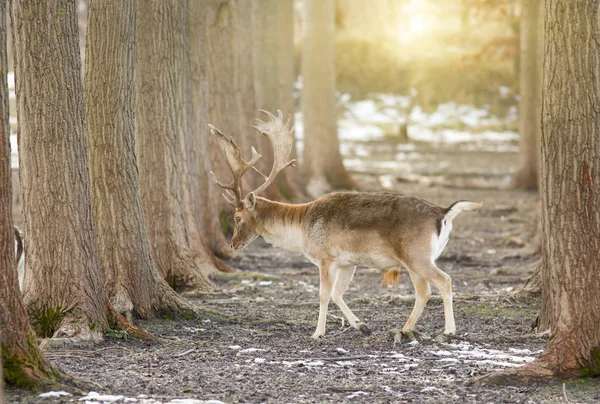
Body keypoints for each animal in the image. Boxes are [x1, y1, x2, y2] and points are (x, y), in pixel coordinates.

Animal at [209, 109, 480, 340]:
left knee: (444, 281)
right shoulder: (348, 262)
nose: (233, 244)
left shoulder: (325, 257)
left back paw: (448, 330)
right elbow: (338, 293)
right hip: (413, 260)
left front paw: (317, 333)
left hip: (417, 255)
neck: (300, 227)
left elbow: (323, 295)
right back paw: (405, 329)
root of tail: (443, 212)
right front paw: (362, 326)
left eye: (237, 217)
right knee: (424, 292)